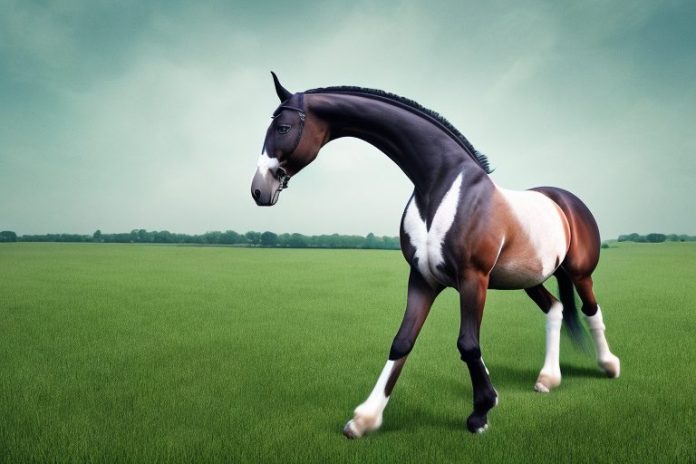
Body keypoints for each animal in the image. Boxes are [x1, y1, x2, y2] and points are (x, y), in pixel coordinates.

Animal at [250, 72, 620, 438]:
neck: (440, 183)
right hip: (529, 279)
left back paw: (609, 366)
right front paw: (365, 418)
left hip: (580, 273)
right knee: (556, 309)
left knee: (591, 311)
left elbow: (468, 344)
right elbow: (402, 342)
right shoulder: (422, 278)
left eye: (282, 127)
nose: (259, 189)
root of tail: (567, 201)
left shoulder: (473, 278)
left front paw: (481, 412)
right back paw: (547, 379)